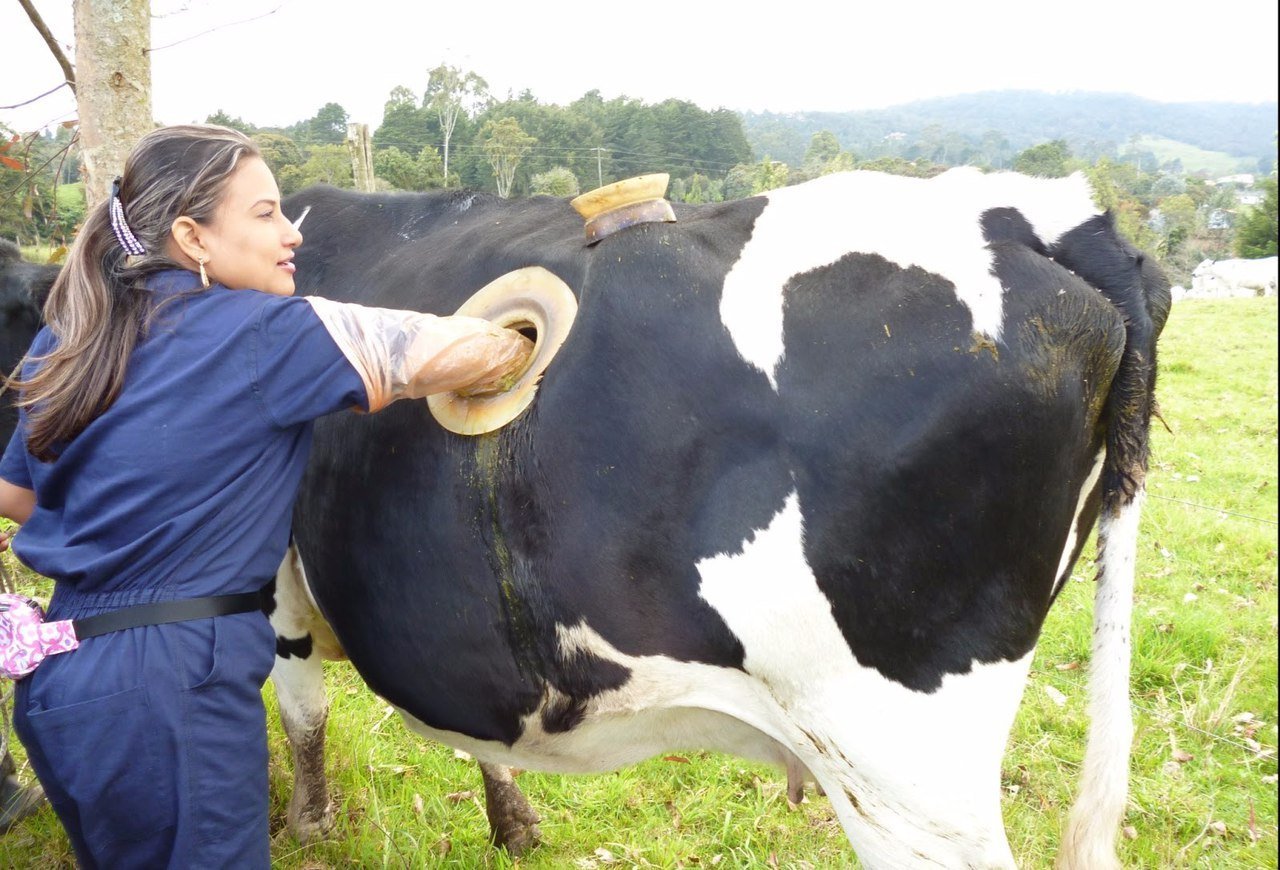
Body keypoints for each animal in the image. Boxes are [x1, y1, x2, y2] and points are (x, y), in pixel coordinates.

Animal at [270, 171, 1172, 870]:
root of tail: (1036, 215)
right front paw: (512, 823)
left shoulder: (275, 579)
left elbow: (303, 710)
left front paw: (308, 831)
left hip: (903, 767)